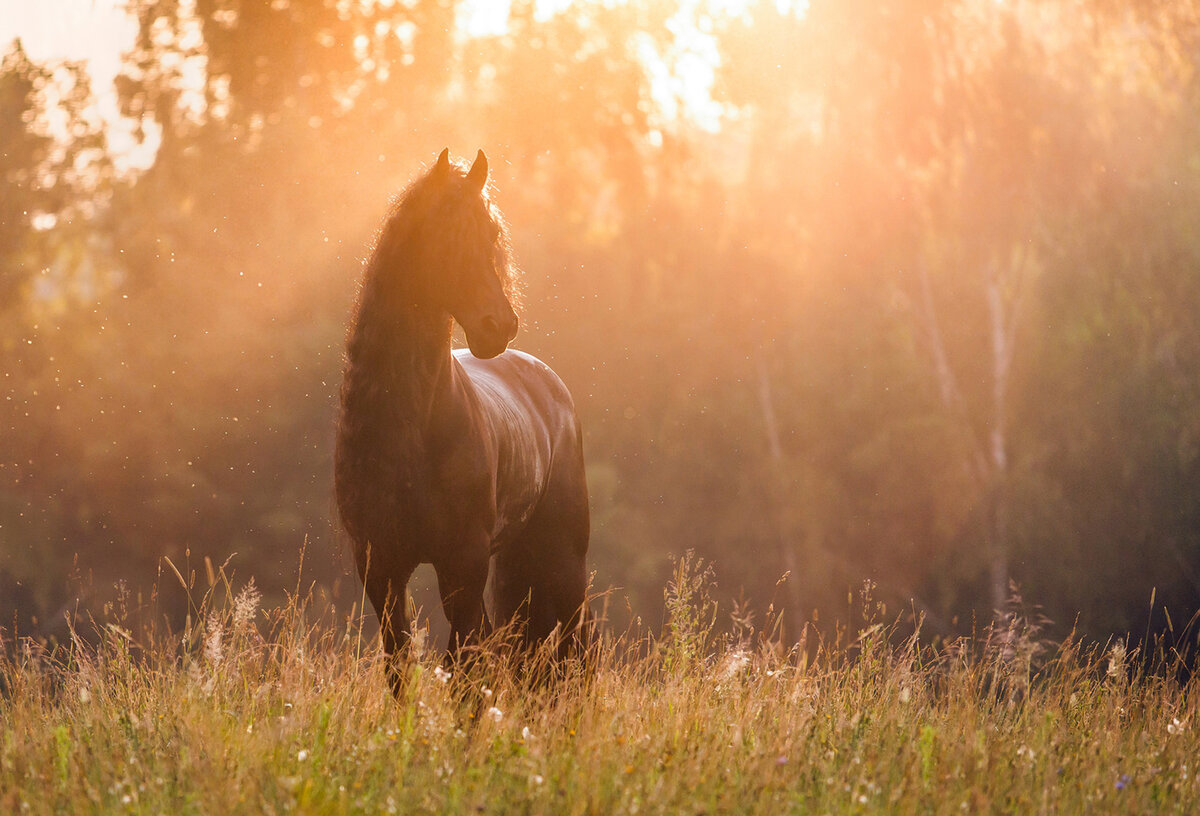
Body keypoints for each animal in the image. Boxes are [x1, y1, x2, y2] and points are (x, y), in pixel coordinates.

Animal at [336, 148, 588, 681]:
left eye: (491, 235)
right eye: (445, 235)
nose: (500, 325)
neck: (413, 430)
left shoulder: (463, 565)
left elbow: (467, 671)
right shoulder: (381, 568)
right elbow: (402, 666)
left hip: (564, 565)